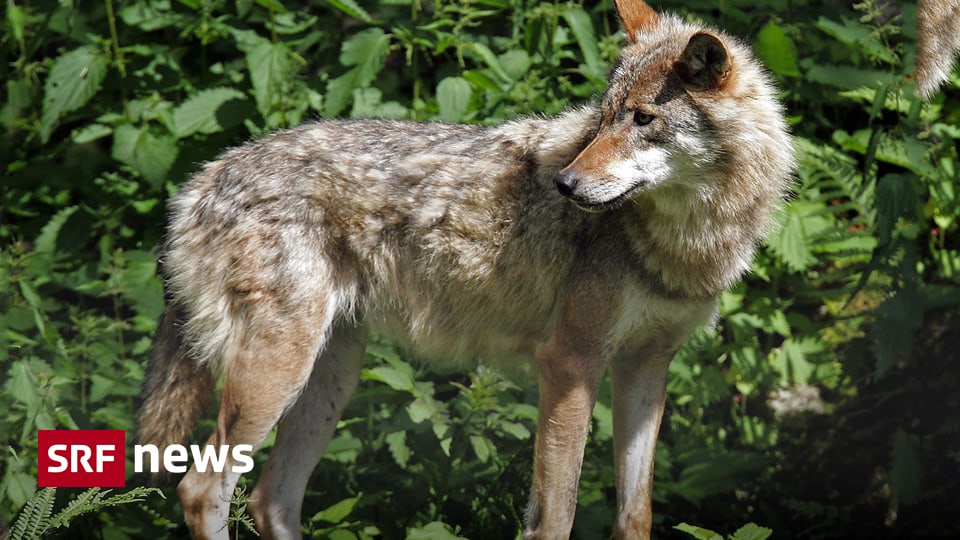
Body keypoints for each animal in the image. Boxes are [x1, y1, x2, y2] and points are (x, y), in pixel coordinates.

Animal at [135, 2, 796, 536]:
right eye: (604, 116)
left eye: (641, 121)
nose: (564, 185)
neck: (685, 242)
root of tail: (203, 177)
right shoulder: (570, 363)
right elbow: (554, 518)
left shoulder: (646, 367)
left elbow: (636, 516)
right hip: (277, 374)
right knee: (201, 490)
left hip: (329, 382)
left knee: (270, 500)